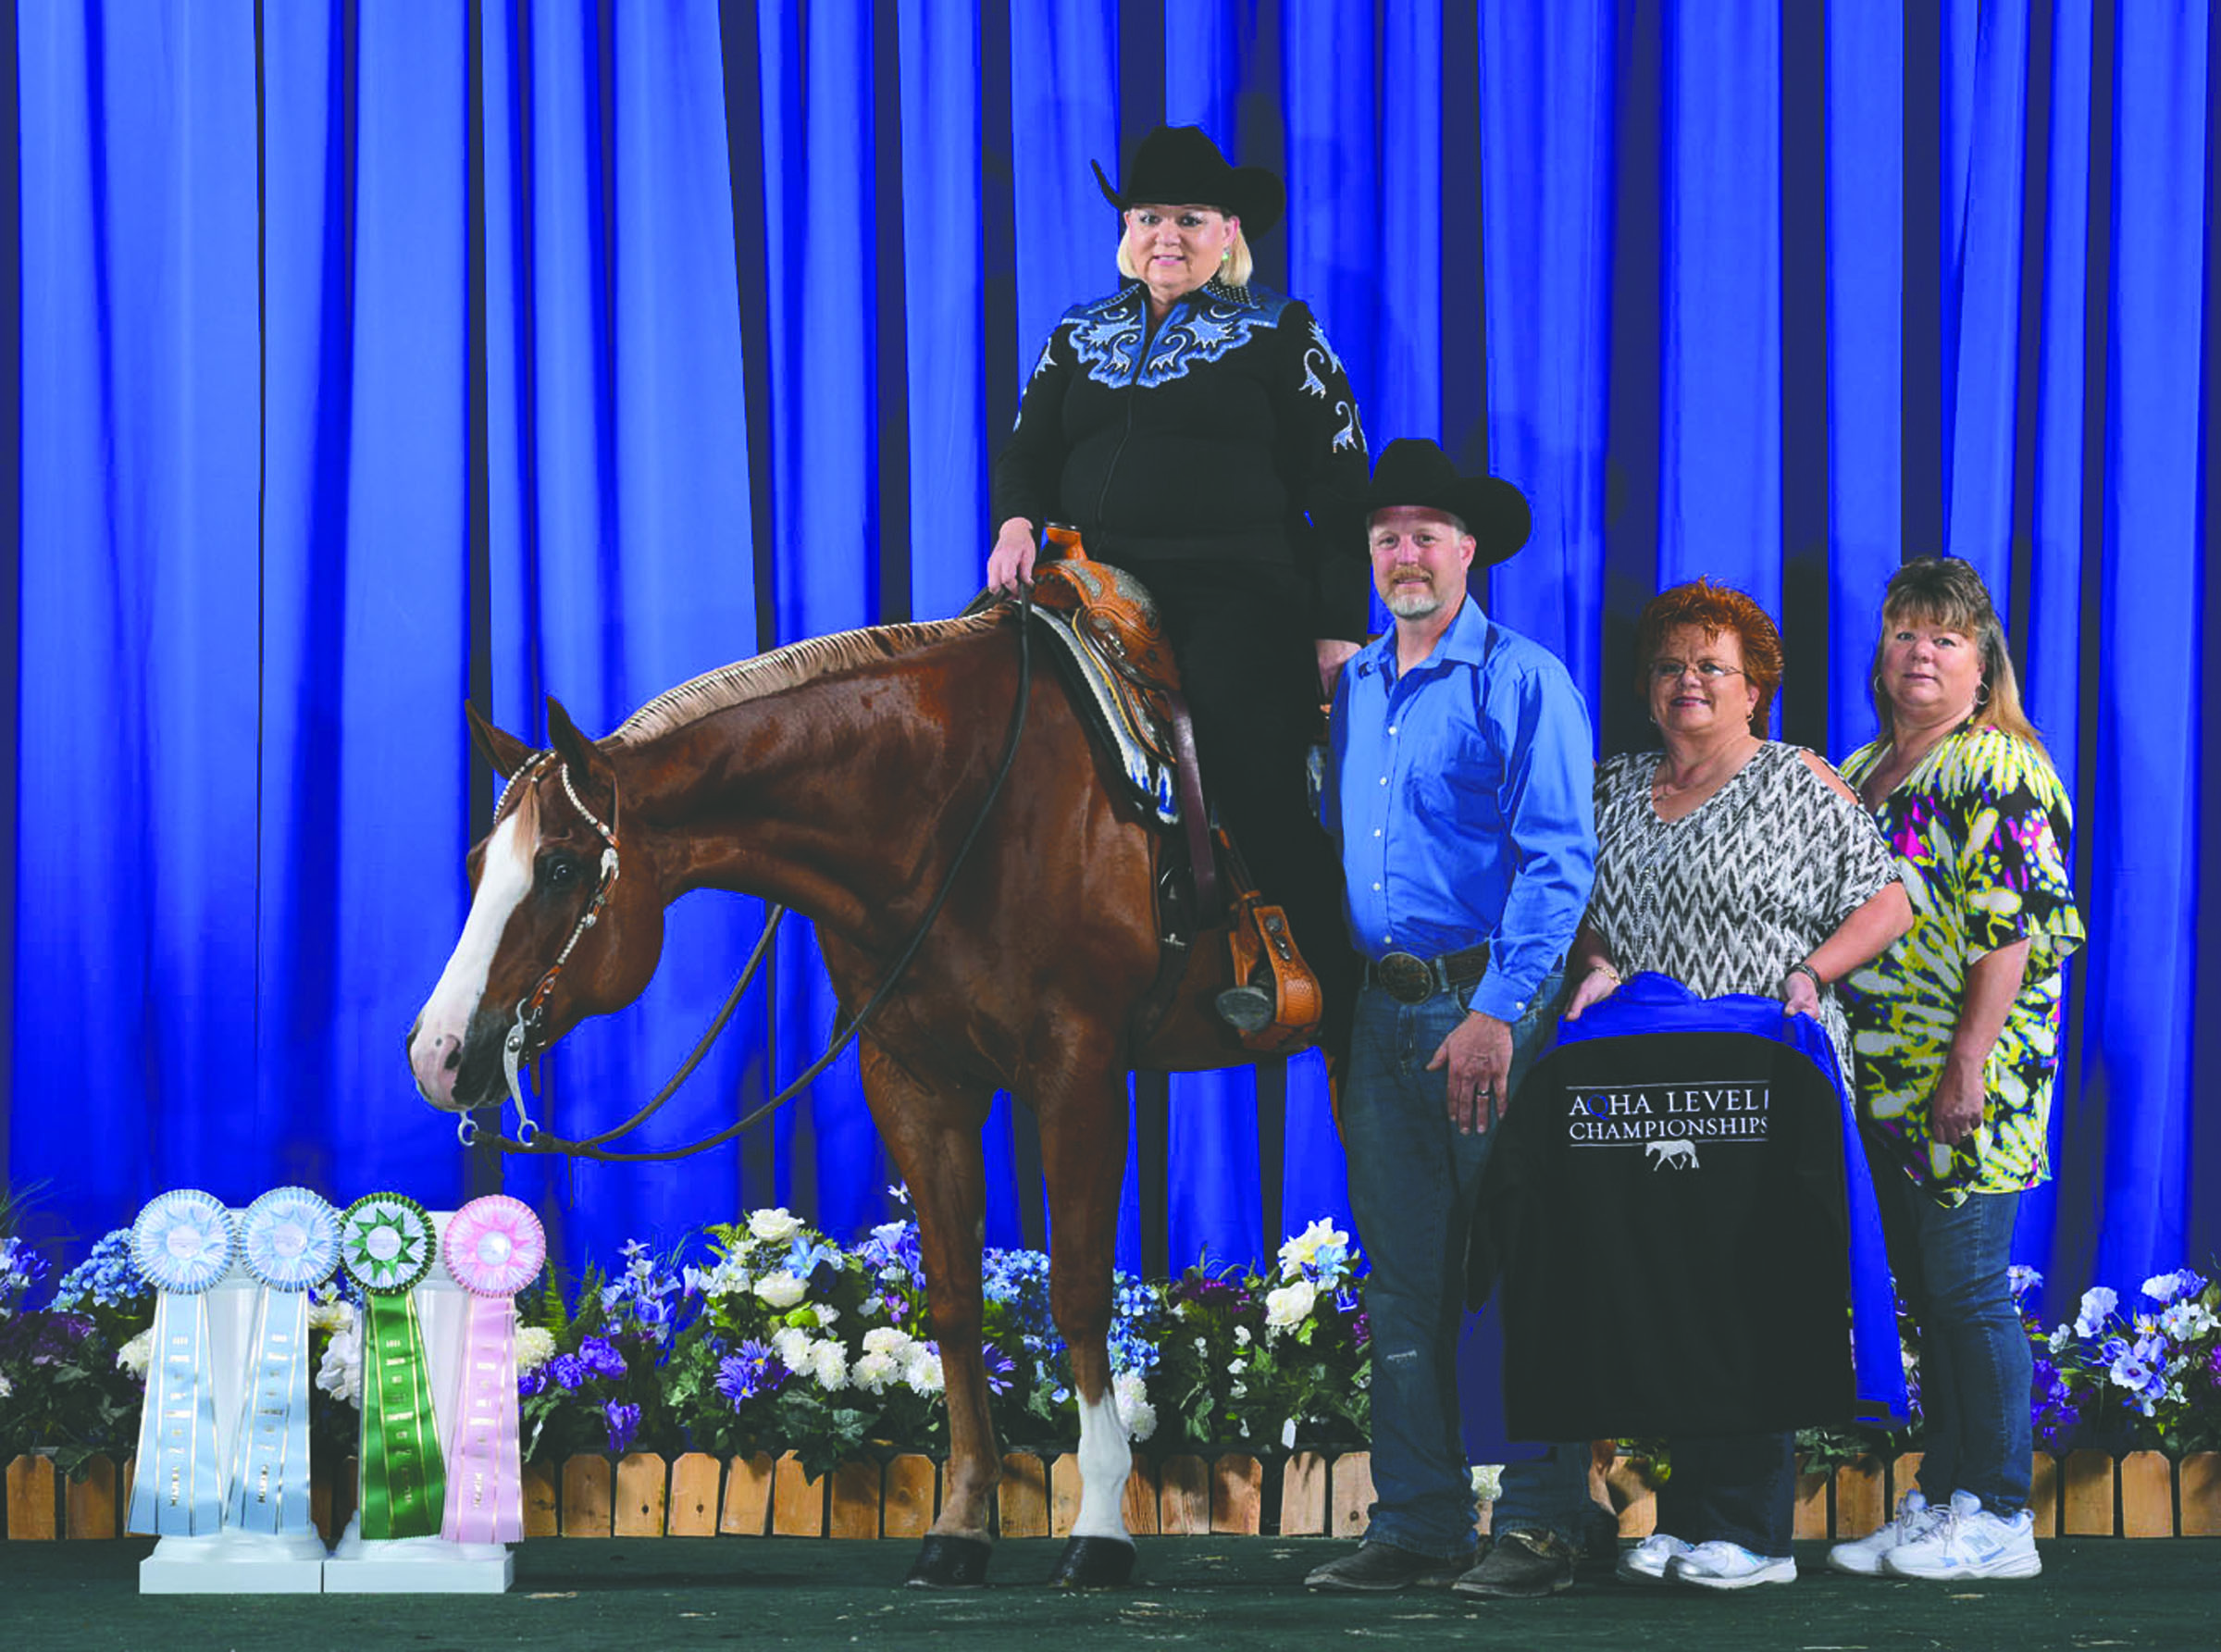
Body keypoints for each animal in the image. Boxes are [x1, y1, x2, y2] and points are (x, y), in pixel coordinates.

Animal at [406, 608, 1261, 1589]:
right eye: (478, 863)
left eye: (556, 868)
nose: (436, 1053)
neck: (971, 810)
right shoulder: (915, 1082)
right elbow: (955, 1299)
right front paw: (960, 1526)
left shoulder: (1078, 1072)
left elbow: (1079, 1294)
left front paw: (1100, 1529)